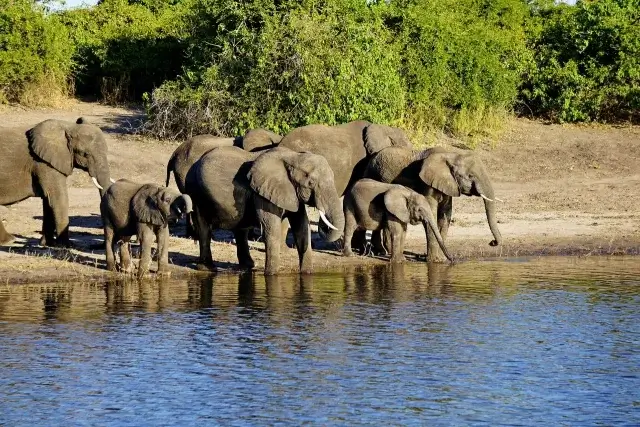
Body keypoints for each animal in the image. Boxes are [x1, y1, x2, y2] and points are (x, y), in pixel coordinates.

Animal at [0, 118, 112, 246]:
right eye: (85, 154)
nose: (97, 246)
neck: (68, 127)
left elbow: (48, 200)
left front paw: (47, 244)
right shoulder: (43, 163)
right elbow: (58, 198)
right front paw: (66, 245)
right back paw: (9, 240)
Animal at [185, 146, 344, 275]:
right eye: (311, 183)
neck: (293, 157)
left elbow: (302, 227)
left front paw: (307, 274)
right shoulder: (263, 193)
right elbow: (271, 228)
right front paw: (271, 275)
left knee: (241, 229)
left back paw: (247, 266)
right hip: (195, 192)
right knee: (204, 228)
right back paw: (207, 269)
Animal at [365, 146, 502, 262]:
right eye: (470, 176)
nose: (492, 242)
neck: (451, 155)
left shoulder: (448, 185)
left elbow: (445, 216)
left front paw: (441, 259)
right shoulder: (426, 185)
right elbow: (432, 214)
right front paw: (434, 261)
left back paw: (382, 251)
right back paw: (381, 252)